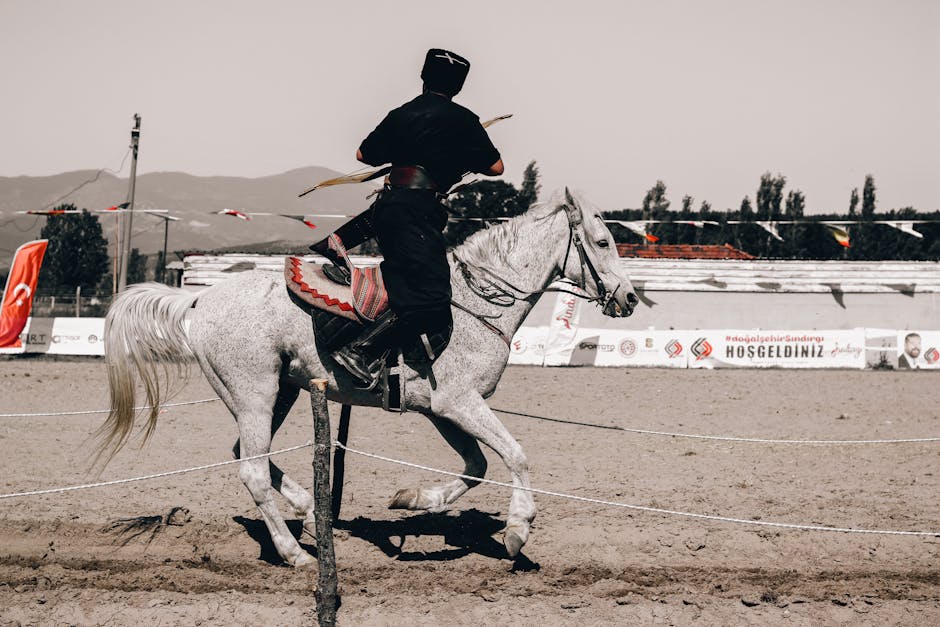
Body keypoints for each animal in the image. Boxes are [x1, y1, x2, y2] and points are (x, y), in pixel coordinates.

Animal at [97, 189, 640, 568]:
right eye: (602, 241)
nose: (630, 297)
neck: (477, 302)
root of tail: (200, 298)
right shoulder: (459, 403)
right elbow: (515, 455)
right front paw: (517, 530)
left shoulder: (442, 410)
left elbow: (476, 465)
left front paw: (415, 499)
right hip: (256, 393)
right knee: (251, 470)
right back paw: (295, 552)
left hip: (278, 394)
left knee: (249, 457)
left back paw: (310, 512)